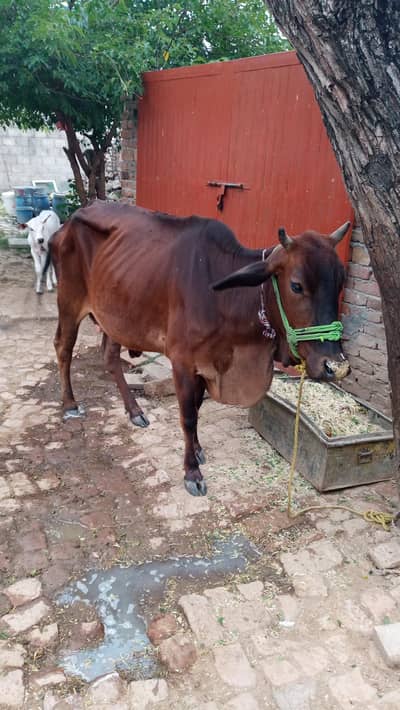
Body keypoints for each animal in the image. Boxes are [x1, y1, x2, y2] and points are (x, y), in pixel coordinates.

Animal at [49, 201, 350, 496]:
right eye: (296, 285)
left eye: (341, 282)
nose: (335, 366)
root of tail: (68, 222)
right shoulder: (182, 362)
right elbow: (188, 416)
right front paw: (191, 472)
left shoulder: (208, 363)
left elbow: (197, 406)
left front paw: (197, 450)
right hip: (69, 301)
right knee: (63, 347)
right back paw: (70, 404)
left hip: (116, 316)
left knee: (110, 358)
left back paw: (134, 411)